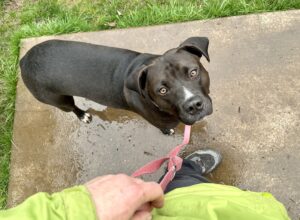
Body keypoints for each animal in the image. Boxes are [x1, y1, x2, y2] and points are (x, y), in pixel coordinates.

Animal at [19, 37, 212, 134]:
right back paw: (83, 115)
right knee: (71, 106)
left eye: (193, 72)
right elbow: (165, 128)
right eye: (162, 90)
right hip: (58, 100)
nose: (194, 105)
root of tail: (24, 60)